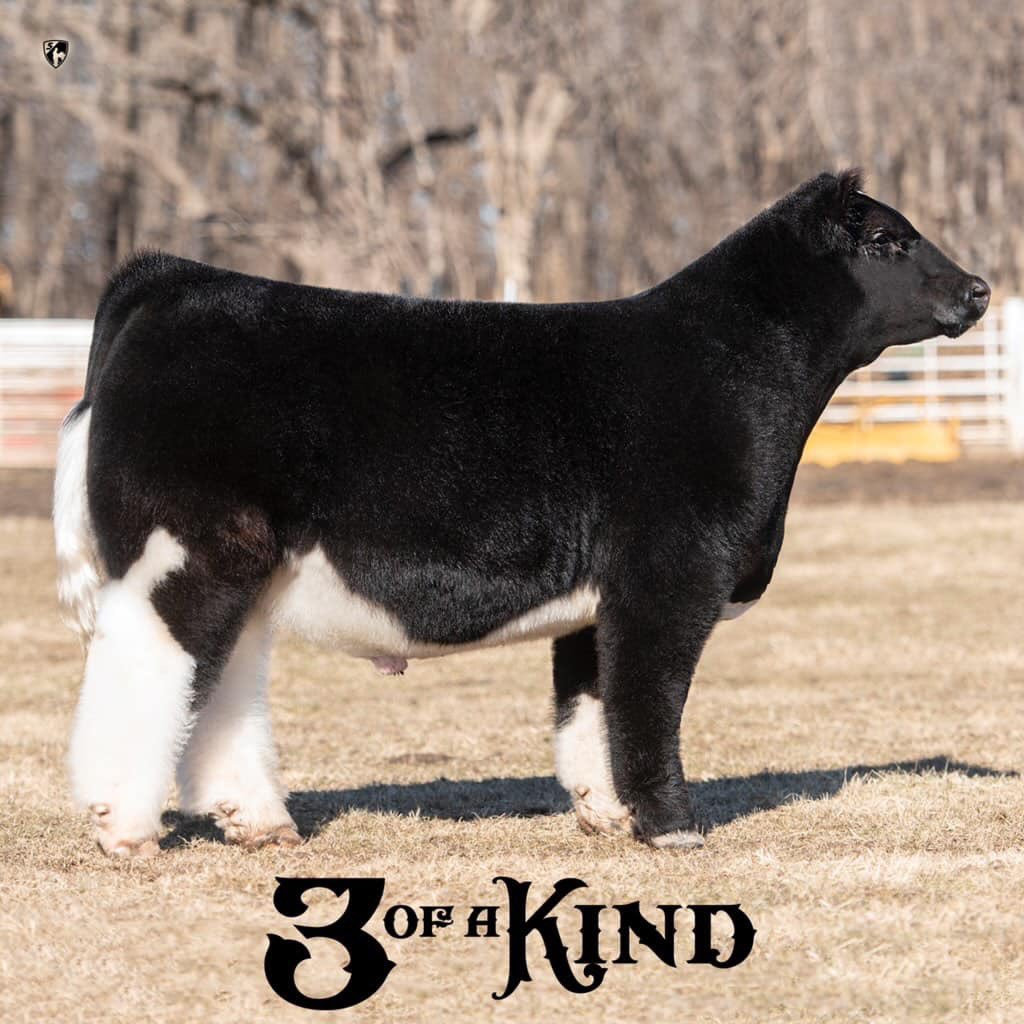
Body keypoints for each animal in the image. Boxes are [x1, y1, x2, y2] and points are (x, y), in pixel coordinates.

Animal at [53, 170, 990, 857]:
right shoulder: (670, 576)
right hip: (187, 550)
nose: (980, 290)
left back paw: (258, 821)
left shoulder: (602, 596)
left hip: (248, 565)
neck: (734, 368)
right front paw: (673, 829)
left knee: (220, 682)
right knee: (147, 670)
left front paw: (608, 815)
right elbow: (649, 702)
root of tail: (171, 279)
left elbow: (592, 702)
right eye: (887, 240)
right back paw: (121, 826)